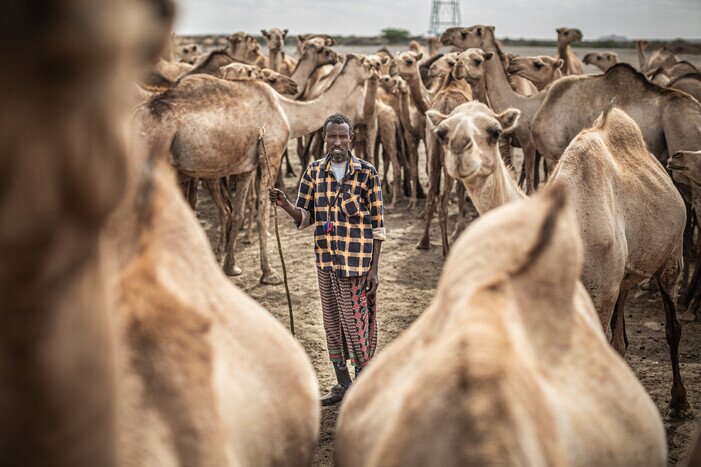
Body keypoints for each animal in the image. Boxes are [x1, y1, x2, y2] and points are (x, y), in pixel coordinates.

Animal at [142, 54, 378, 286]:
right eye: (367, 63)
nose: (378, 69)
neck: (287, 112)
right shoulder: (271, 154)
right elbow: (263, 213)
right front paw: (269, 274)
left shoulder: (246, 165)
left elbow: (237, 213)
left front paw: (231, 267)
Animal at [426, 101, 688, 416]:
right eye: (442, 133)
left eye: (495, 131)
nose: (459, 148)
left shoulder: (601, 293)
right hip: (623, 276)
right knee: (620, 339)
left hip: (671, 254)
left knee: (672, 327)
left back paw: (680, 402)